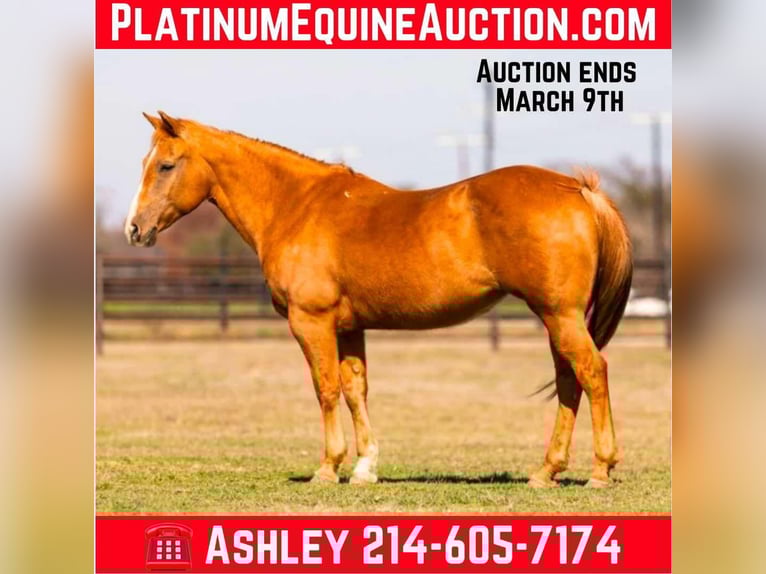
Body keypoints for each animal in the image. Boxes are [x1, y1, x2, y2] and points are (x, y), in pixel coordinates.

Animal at [125, 112, 632, 488]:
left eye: (166, 165)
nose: (134, 228)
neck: (296, 205)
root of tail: (579, 189)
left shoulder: (311, 322)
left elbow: (326, 389)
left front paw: (328, 468)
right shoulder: (350, 327)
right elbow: (355, 390)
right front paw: (365, 467)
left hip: (560, 315)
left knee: (592, 372)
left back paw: (600, 469)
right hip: (557, 318)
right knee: (569, 380)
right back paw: (547, 471)